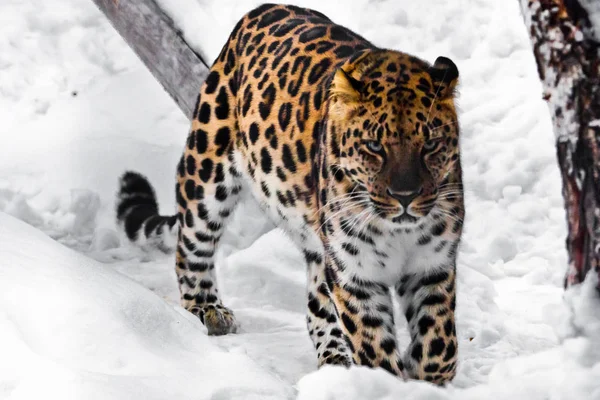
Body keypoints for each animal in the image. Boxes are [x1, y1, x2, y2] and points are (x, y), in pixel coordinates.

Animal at [117, 2, 464, 384]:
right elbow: (374, 344)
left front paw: (425, 382)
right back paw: (207, 309)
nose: (405, 196)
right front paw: (385, 383)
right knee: (191, 246)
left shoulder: (432, 266)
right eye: (374, 146)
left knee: (316, 306)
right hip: (205, 170)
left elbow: (439, 345)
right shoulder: (355, 275)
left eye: (430, 144)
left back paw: (335, 361)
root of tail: (264, 9)